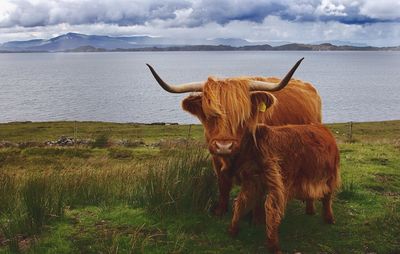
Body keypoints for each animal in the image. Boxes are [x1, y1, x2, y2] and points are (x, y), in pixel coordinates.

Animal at [146, 58, 322, 217]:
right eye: (210, 113)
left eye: (242, 115)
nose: (224, 146)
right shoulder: (216, 160)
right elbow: (223, 186)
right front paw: (220, 212)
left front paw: (256, 219)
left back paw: (310, 209)